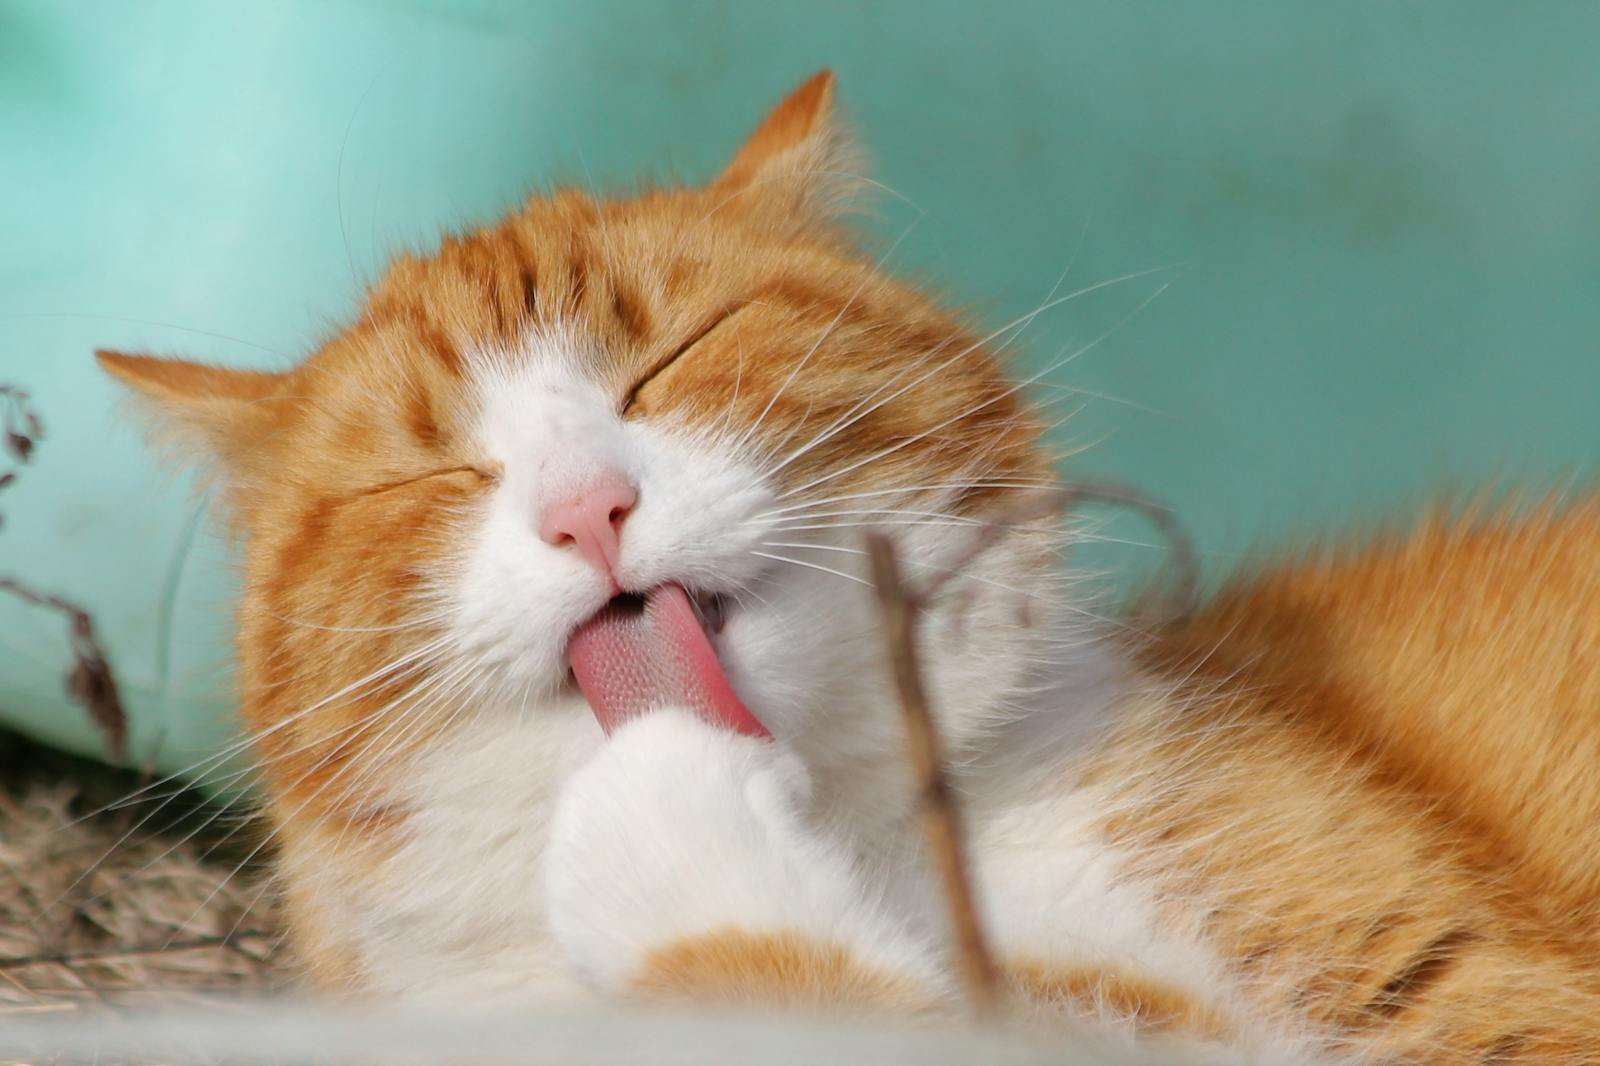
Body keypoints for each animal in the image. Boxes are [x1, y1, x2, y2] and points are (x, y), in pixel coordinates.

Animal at [100, 70, 1600, 1056]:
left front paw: (671, 820)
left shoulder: (1471, 999)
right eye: (425, 475)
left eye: (677, 353)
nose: (588, 506)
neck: (853, 838)